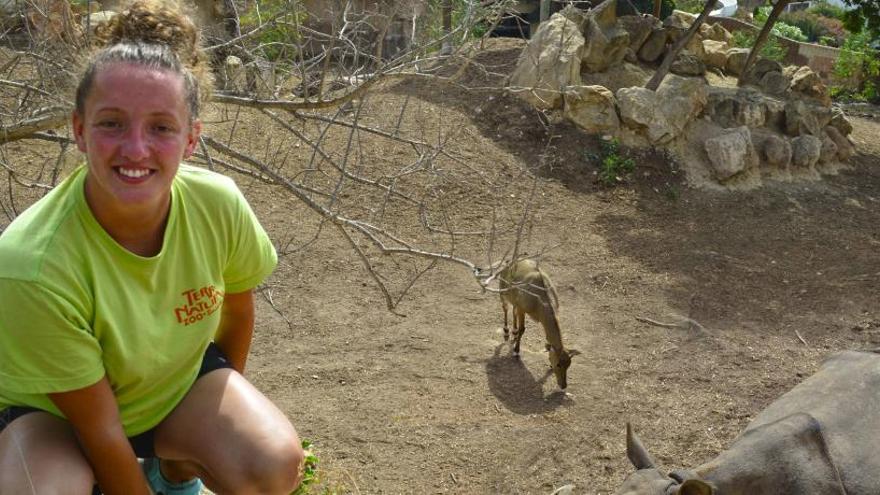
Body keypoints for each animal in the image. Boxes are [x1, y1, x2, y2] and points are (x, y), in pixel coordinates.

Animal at [498, 260, 580, 392]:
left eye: (569, 364)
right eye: (558, 364)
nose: (563, 385)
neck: (540, 299)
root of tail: (508, 263)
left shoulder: (522, 308)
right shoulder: (522, 309)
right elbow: (523, 329)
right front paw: (516, 352)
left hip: (514, 300)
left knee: (513, 311)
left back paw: (513, 332)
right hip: (502, 292)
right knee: (505, 308)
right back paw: (506, 331)